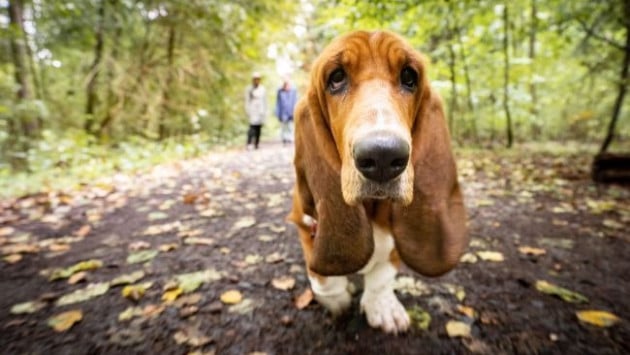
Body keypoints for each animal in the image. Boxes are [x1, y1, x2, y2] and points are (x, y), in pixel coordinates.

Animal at [290, 29, 470, 334]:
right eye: (336, 78)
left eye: (409, 77)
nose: (383, 155)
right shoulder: (305, 222)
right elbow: (323, 277)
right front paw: (337, 300)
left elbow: (383, 275)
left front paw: (383, 307)